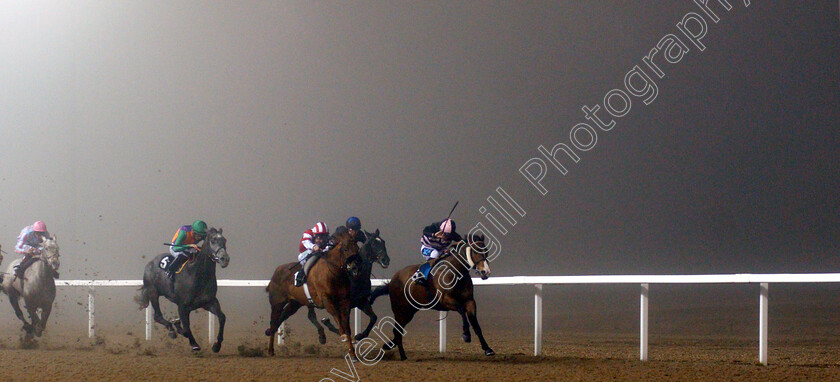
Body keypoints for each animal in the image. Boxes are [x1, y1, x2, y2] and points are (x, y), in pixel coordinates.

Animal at [266, 230, 360, 358]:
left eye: (357, 248)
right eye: (345, 249)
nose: (355, 268)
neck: (334, 274)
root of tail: (276, 271)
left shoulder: (344, 301)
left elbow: (346, 326)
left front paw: (352, 353)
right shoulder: (326, 300)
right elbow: (338, 319)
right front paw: (343, 337)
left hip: (295, 304)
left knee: (282, 318)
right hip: (277, 303)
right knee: (274, 322)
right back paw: (270, 350)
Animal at [370, 233, 496, 362]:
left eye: (486, 251)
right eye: (476, 251)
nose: (486, 272)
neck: (455, 271)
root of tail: (392, 281)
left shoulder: (470, 301)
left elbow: (476, 324)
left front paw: (487, 349)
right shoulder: (446, 300)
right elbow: (461, 310)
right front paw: (466, 334)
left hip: (410, 311)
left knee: (398, 331)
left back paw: (394, 349)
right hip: (400, 311)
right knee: (397, 331)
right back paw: (402, 355)